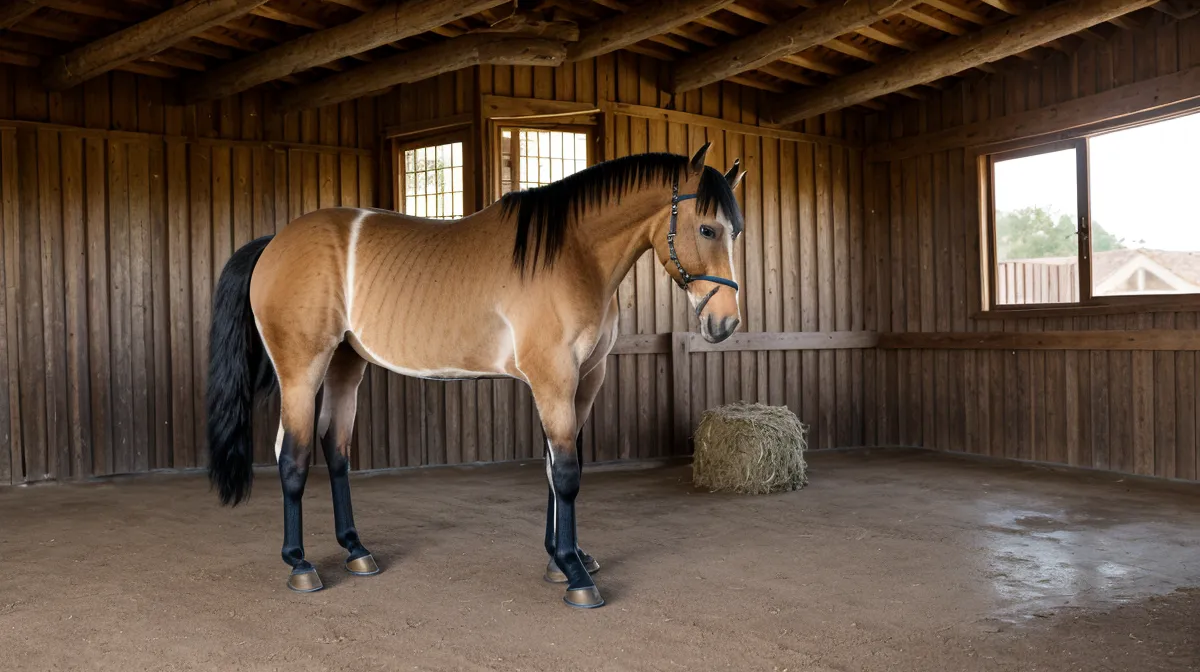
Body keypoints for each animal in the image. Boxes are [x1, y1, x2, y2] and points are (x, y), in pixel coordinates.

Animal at [205, 142, 746, 608]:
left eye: (735, 231)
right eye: (706, 230)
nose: (725, 324)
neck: (573, 255)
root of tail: (274, 243)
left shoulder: (585, 381)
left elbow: (554, 469)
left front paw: (562, 559)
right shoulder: (554, 380)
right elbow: (566, 474)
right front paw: (574, 574)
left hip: (345, 364)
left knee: (335, 449)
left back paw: (356, 551)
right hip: (302, 369)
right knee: (292, 456)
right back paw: (300, 565)